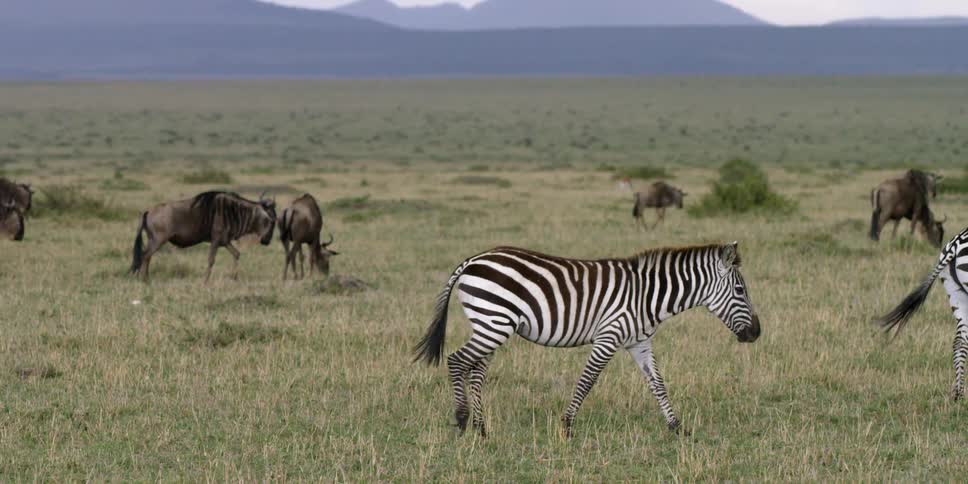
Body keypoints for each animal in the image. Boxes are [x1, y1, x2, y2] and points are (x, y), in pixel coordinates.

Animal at [414, 242, 761, 437]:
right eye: (741, 290)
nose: (756, 333)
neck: (647, 297)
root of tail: (472, 260)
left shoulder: (639, 342)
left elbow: (658, 384)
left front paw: (676, 428)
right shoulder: (609, 335)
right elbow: (587, 381)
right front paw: (567, 426)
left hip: (489, 324)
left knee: (476, 370)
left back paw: (482, 428)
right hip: (493, 322)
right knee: (457, 360)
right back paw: (462, 420)